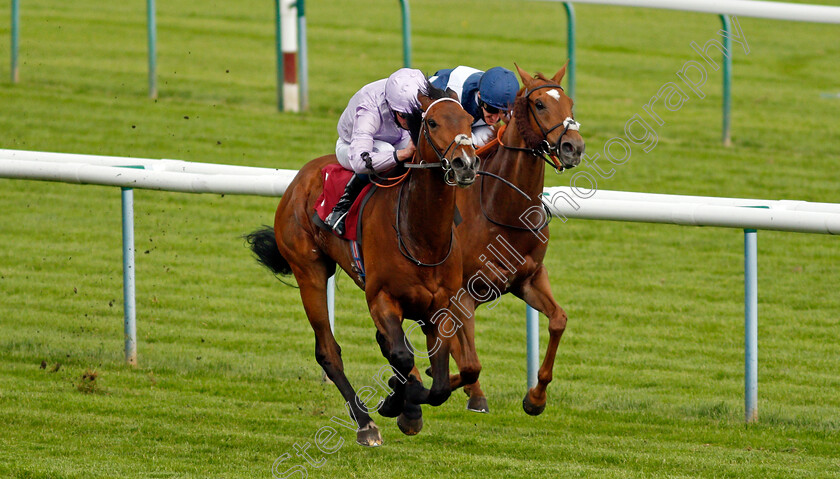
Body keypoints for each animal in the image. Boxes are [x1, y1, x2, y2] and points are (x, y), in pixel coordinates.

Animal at [244, 84, 480, 448]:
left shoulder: (442, 304)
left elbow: (442, 382)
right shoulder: (381, 298)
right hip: (309, 272)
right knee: (328, 350)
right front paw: (398, 402)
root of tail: (301, 177)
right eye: (434, 123)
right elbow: (404, 358)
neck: (421, 235)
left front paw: (406, 401)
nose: (465, 163)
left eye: (469, 120)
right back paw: (365, 422)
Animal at [446, 63, 584, 416]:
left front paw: (536, 397)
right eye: (540, 104)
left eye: (570, 103)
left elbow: (559, 320)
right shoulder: (464, 289)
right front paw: (472, 391)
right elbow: (467, 349)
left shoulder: (529, 278)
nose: (574, 147)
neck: (504, 210)